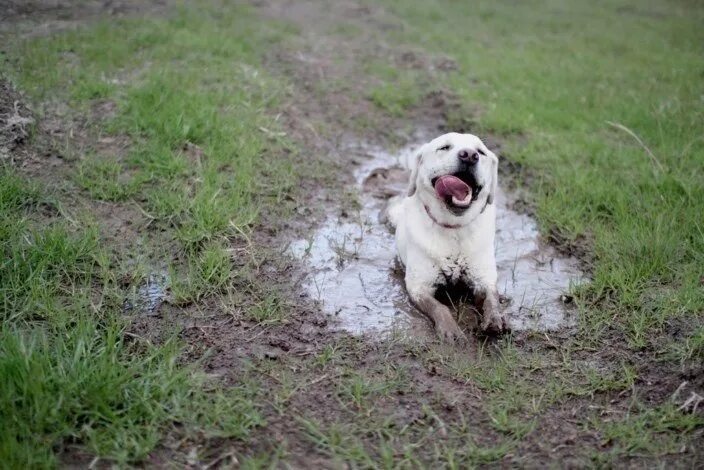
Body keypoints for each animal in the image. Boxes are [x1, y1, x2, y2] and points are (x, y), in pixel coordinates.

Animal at [388, 132, 508, 342]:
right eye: (444, 147)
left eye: (480, 152)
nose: (469, 156)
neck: (454, 228)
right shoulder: (418, 287)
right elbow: (440, 307)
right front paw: (450, 328)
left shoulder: (484, 279)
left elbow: (491, 299)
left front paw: (494, 319)